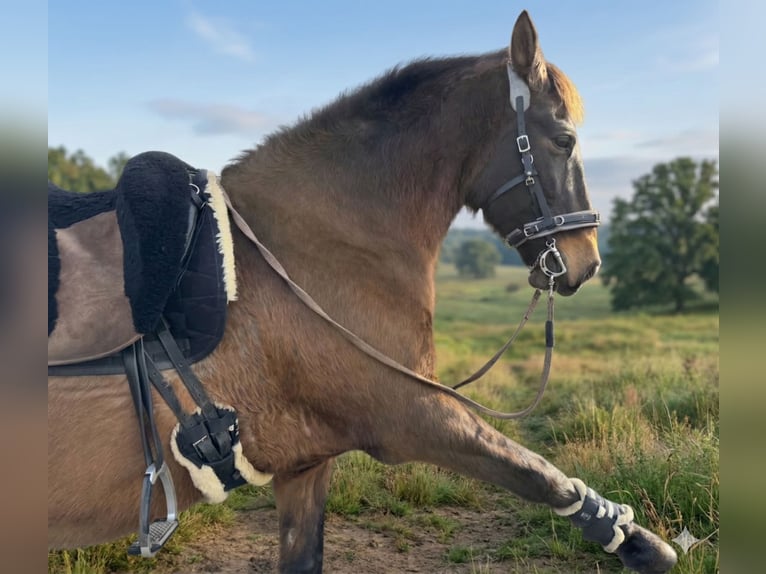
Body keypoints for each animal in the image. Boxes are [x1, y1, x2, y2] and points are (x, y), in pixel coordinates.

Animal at [48, 11, 677, 574]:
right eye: (564, 139)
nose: (586, 262)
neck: (320, 246)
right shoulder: (412, 415)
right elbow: (541, 474)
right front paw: (640, 542)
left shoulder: (306, 465)